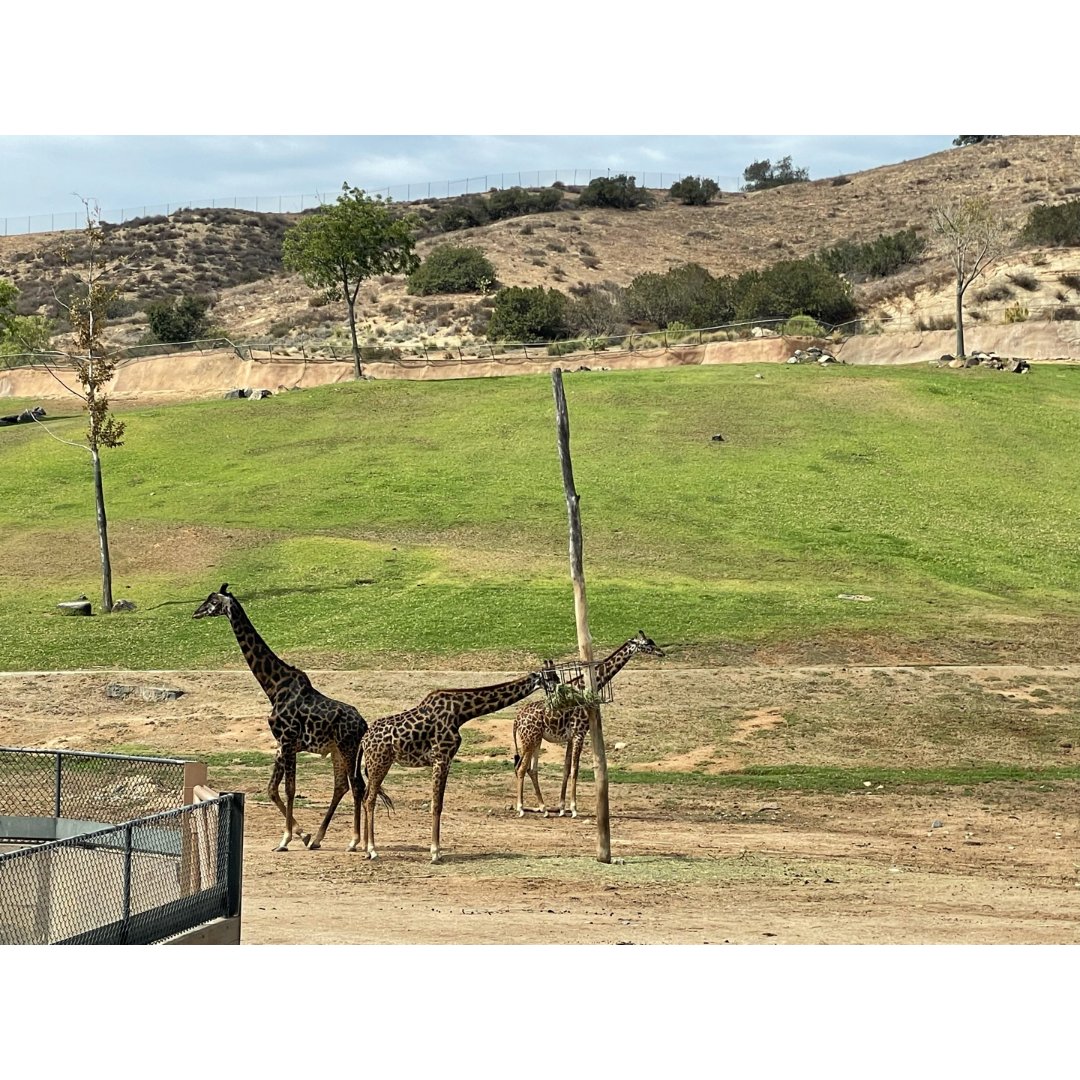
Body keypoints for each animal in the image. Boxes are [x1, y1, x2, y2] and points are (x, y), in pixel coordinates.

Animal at [194, 583, 388, 851]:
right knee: (342, 786)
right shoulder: (281, 745)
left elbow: (289, 788)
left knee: (357, 785)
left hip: (348, 748)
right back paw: (318, 839)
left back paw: (353, 841)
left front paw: (285, 839)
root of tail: (364, 724)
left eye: (213, 601)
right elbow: (271, 789)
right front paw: (302, 834)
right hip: (337, 751)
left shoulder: (287, 741)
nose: (196, 612)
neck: (274, 687)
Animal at [358, 660, 561, 864]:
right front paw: (435, 852)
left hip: (375, 764)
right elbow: (436, 805)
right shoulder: (441, 757)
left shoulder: (446, 760)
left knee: (365, 797)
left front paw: (437, 851)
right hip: (379, 763)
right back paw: (372, 850)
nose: (561, 691)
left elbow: (438, 804)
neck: (461, 712)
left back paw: (366, 849)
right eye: (552, 677)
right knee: (369, 799)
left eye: (557, 676)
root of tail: (364, 740)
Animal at [509, 630, 660, 812]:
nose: (661, 652)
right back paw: (521, 807)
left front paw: (562, 807)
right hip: (529, 740)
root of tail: (516, 721)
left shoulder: (571, 736)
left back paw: (542, 807)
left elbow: (567, 769)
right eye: (647, 644)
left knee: (531, 769)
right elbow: (575, 769)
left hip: (536, 740)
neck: (584, 686)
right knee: (521, 768)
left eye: (652, 641)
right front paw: (573, 807)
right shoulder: (579, 733)